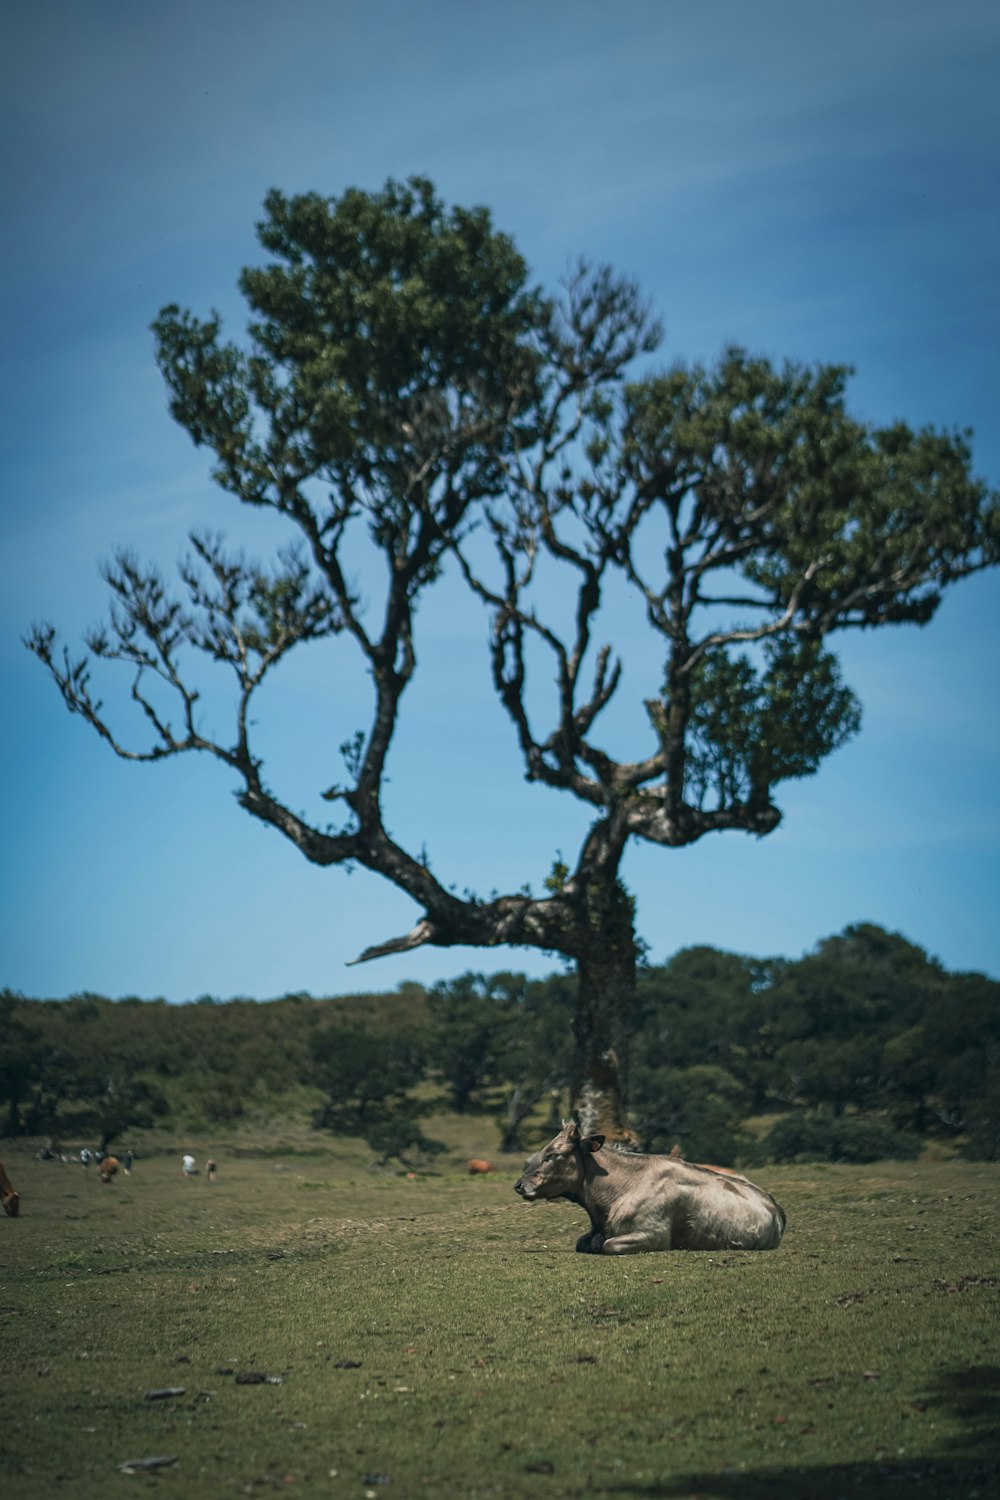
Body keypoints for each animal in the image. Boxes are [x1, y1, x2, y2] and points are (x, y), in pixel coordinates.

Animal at [515, 1128, 791, 1254]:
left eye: (553, 1154)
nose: (519, 1184)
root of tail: (776, 1207)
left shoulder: (653, 1235)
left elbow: (609, 1245)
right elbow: (583, 1243)